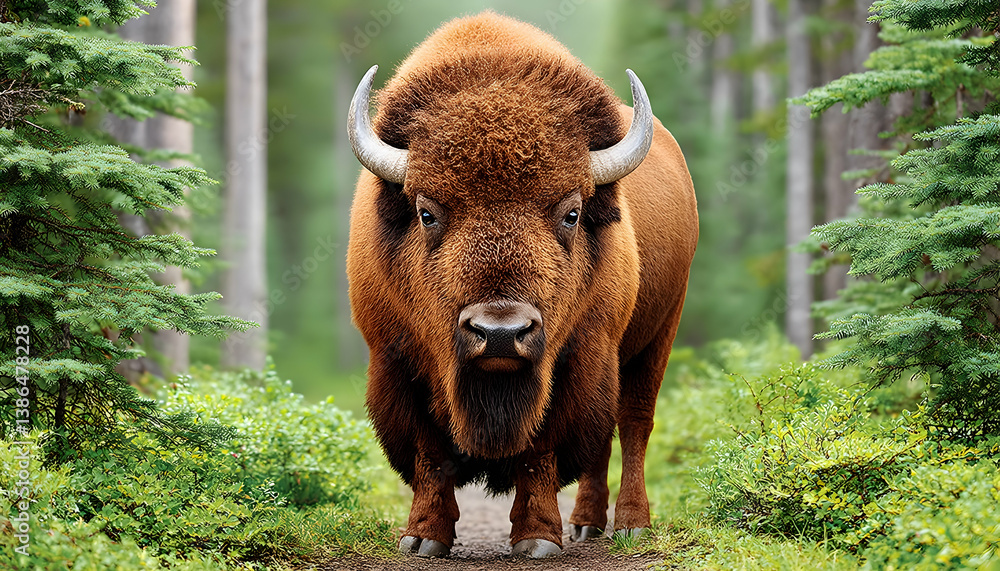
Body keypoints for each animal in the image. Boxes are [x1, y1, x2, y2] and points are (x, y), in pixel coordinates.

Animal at [346, 12, 698, 559]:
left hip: (657, 336)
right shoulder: (395, 360)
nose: (500, 333)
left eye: (571, 213)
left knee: (634, 422)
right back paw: (586, 524)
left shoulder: (574, 358)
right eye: (426, 212)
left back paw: (630, 524)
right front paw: (423, 537)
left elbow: (542, 448)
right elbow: (429, 451)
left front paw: (536, 538)